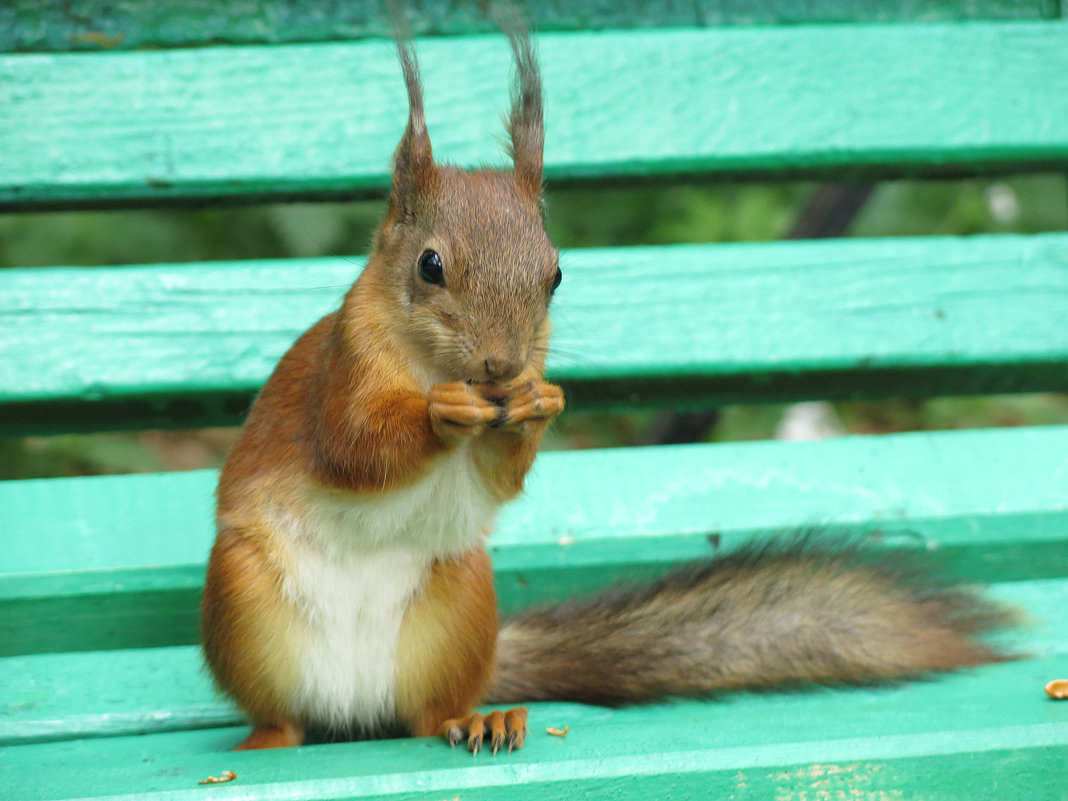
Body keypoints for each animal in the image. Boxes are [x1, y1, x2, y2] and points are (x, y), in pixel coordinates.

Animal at [198, 20, 1008, 760]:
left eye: (556, 273)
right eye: (430, 266)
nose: (502, 366)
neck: (433, 364)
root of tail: (355, 708)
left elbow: (501, 475)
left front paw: (538, 405)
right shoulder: (344, 368)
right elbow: (353, 447)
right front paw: (442, 413)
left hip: (460, 600)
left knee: (430, 715)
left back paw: (479, 719)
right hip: (245, 601)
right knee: (281, 715)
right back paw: (266, 741)